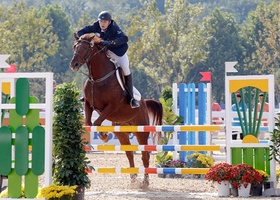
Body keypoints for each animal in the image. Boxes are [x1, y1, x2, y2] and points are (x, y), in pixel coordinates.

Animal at [69, 32, 163, 188]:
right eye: (75, 46)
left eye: (85, 48)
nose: (74, 64)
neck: (98, 78)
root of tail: (144, 102)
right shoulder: (88, 104)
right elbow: (89, 123)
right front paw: (103, 135)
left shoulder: (111, 106)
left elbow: (96, 123)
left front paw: (104, 136)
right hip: (122, 133)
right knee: (130, 154)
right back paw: (133, 179)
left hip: (141, 131)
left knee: (145, 155)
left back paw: (145, 182)